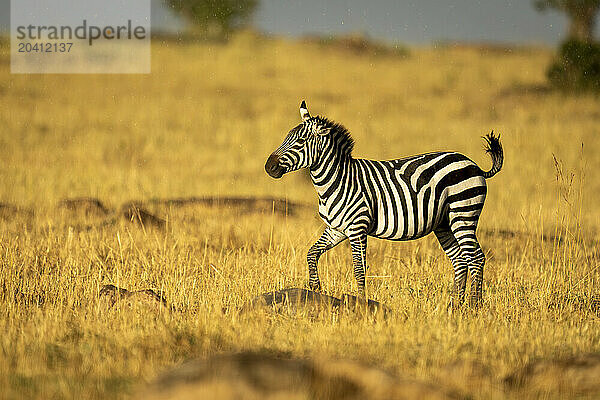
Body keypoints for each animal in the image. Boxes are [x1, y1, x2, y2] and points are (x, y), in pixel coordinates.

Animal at [264, 101, 504, 306]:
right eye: (286, 138)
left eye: (299, 142)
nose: (269, 167)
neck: (338, 180)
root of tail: (473, 164)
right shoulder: (336, 228)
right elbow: (311, 253)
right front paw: (316, 288)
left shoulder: (357, 227)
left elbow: (359, 269)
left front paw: (361, 302)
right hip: (444, 223)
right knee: (460, 260)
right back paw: (454, 306)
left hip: (463, 213)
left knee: (476, 257)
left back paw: (474, 306)